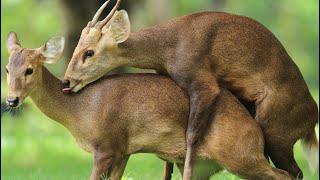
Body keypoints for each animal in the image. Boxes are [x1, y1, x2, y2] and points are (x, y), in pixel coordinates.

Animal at [5, 32, 296, 180]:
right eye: (7, 68)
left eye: (30, 69)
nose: (11, 100)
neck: (79, 110)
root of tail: (255, 130)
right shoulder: (123, 151)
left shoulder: (105, 147)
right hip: (204, 165)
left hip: (240, 155)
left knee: (285, 175)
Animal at [63, 0, 320, 179]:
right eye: (76, 48)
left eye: (89, 52)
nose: (66, 82)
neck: (167, 47)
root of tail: (312, 119)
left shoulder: (202, 82)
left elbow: (191, 136)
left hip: (277, 133)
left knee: (296, 172)